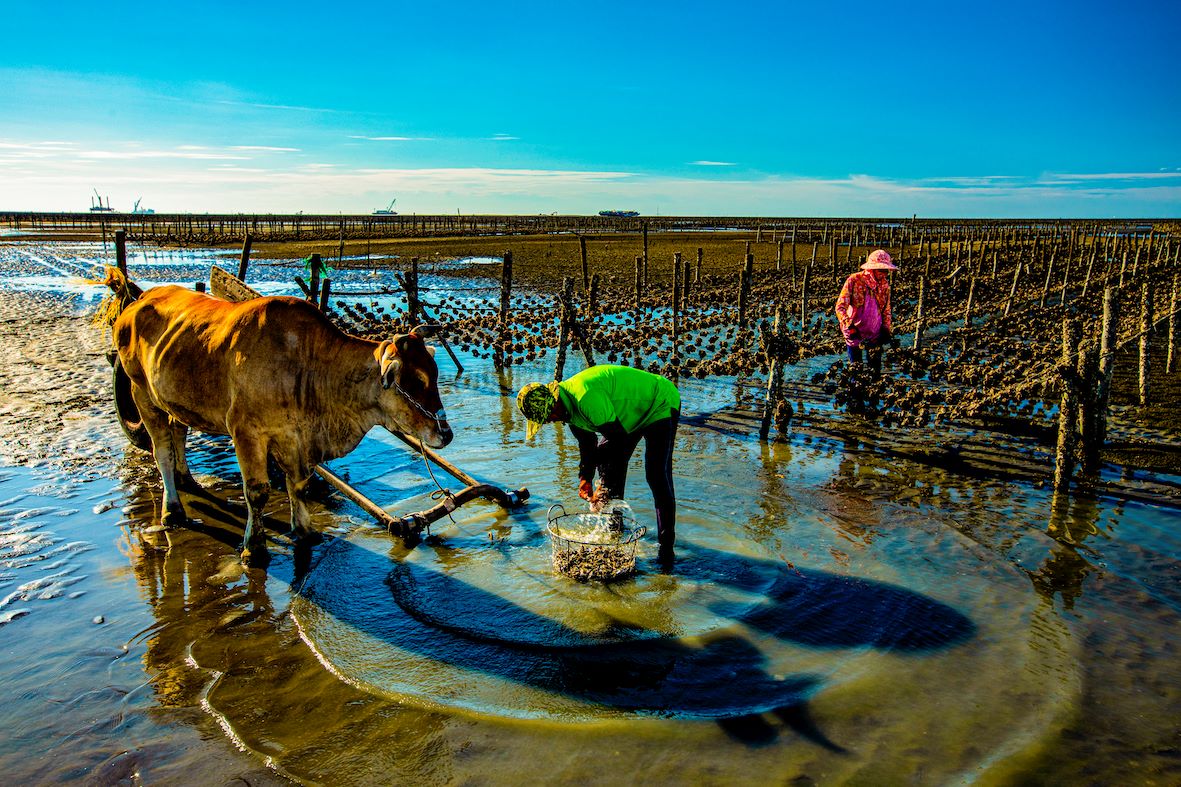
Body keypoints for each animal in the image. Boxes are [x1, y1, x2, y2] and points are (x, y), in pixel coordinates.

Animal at [103, 268, 453, 557]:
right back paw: (172, 509)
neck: (306, 366)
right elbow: (257, 492)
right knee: (161, 449)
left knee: (178, 431)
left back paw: (186, 478)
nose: (445, 434)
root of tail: (139, 299)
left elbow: (297, 484)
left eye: (433, 374)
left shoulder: (295, 437)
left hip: (173, 398)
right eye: (415, 380)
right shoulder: (246, 433)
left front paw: (306, 531)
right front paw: (253, 547)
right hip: (140, 392)